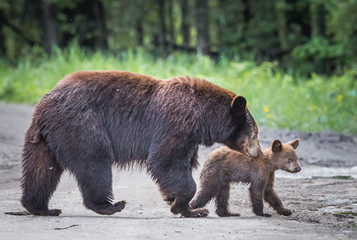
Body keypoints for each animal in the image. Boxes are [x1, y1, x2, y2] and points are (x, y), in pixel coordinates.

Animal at [21, 71, 262, 218]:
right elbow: (165, 160)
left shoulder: (190, 137)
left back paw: (41, 207)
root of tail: (46, 101)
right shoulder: (175, 124)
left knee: (40, 169)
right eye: (255, 132)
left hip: (45, 138)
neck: (202, 116)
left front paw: (189, 208)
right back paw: (109, 205)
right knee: (94, 163)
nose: (259, 153)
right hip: (83, 125)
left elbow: (179, 165)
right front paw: (183, 204)